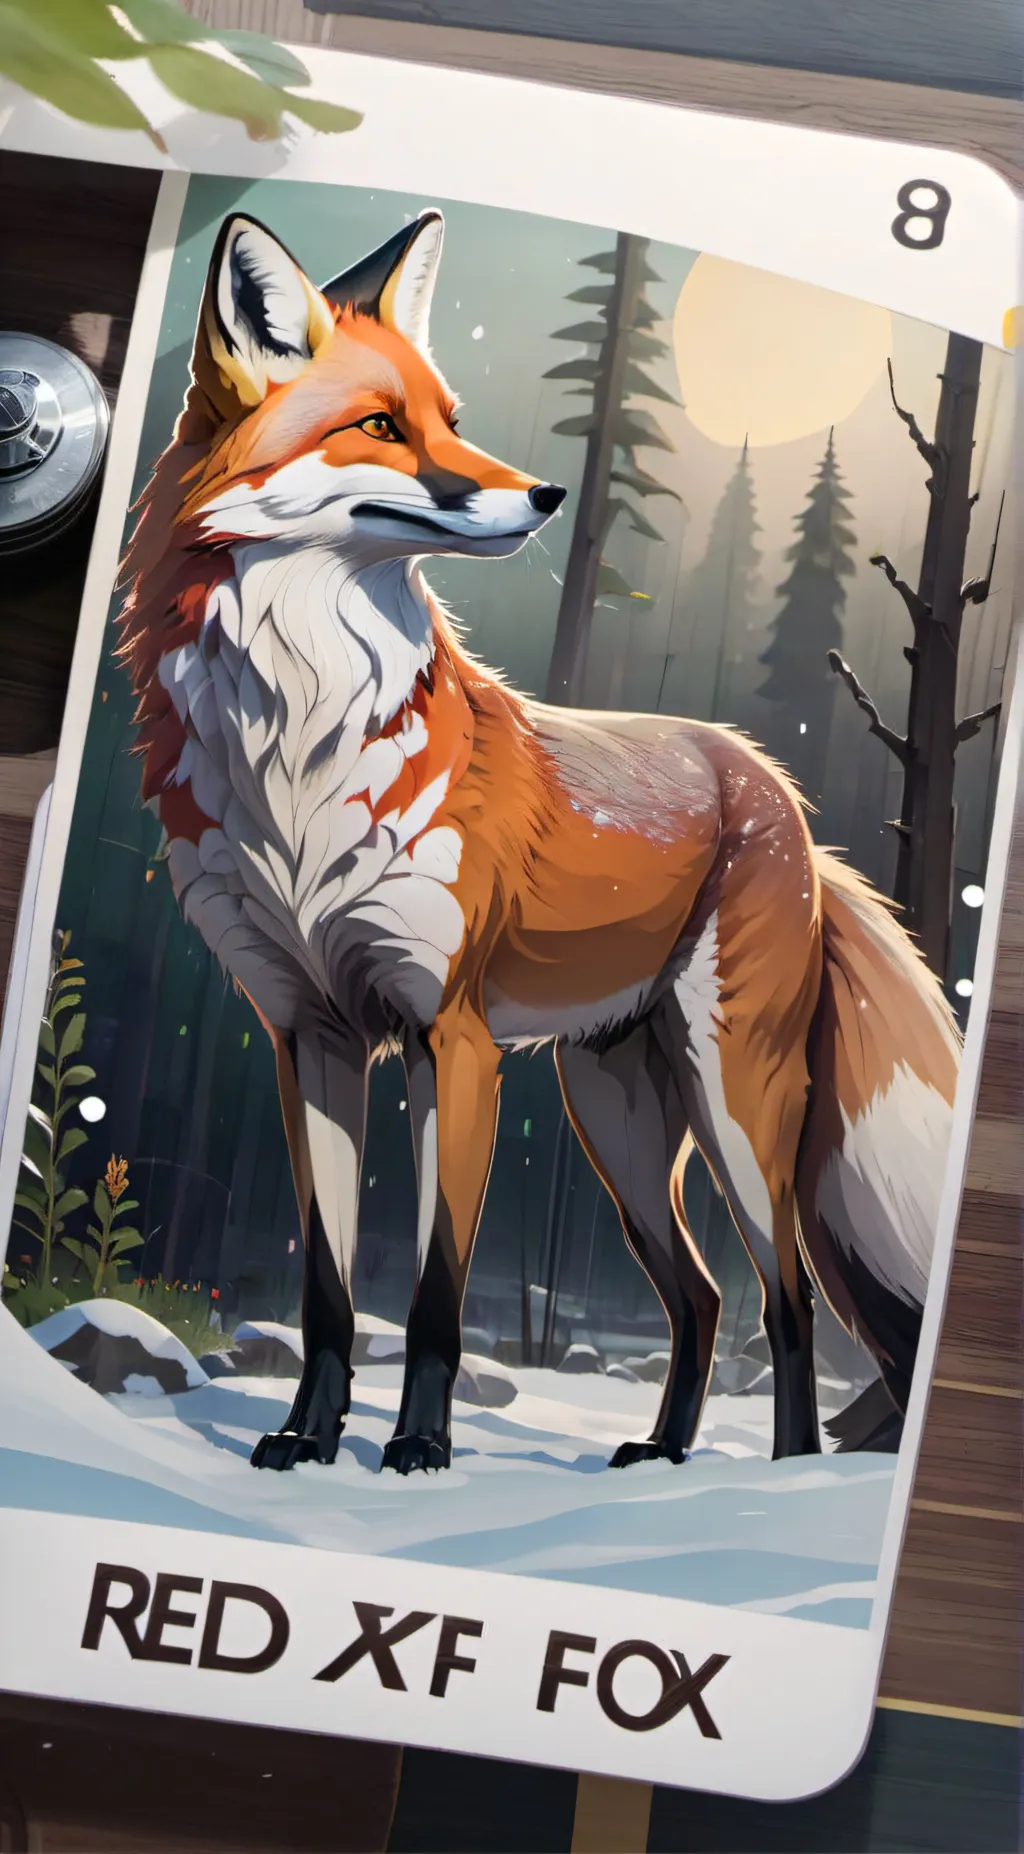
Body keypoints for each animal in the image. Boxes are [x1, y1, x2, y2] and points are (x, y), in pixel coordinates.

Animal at [117, 208, 960, 1476]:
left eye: (452, 417)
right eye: (381, 426)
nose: (550, 494)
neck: (299, 752)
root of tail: (772, 786)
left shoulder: (450, 1041)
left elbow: (433, 1294)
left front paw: (417, 1449)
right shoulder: (307, 1038)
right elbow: (327, 1293)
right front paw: (307, 1439)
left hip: (733, 1104)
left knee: (789, 1298)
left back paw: (775, 1475)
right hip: (613, 1116)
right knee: (701, 1296)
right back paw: (661, 1457)